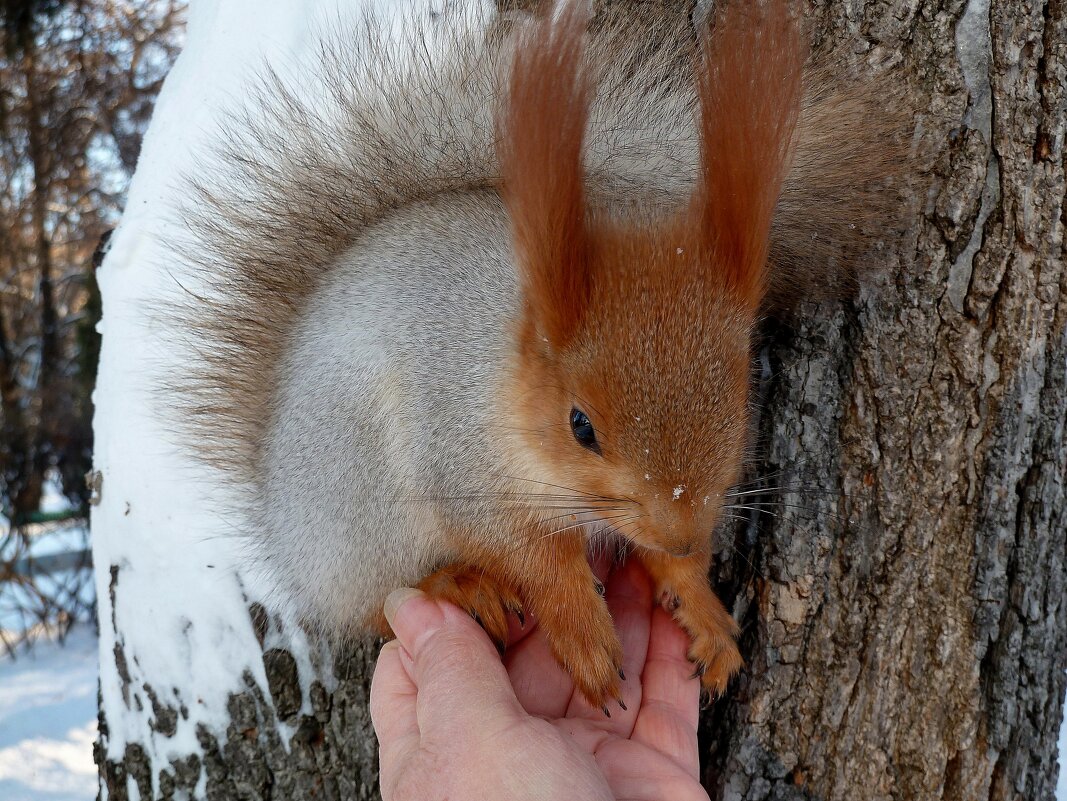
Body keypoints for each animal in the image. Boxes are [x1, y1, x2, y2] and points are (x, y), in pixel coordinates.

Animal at [174, 0, 909, 712]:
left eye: (738, 396)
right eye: (580, 425)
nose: (680, 532)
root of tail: (282, 521)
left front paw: (697, 601)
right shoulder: (458, 456)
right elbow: (530, 558)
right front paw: (582, 630)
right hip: (359, 506)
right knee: (372, 604)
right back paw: (454, 586)